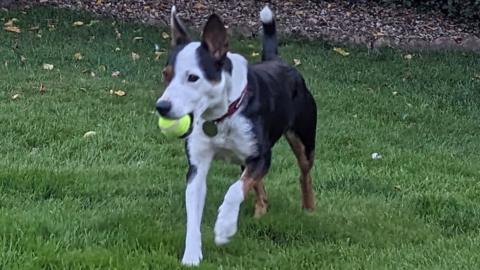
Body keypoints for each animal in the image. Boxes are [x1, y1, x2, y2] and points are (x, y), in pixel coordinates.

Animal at [156, 4, 316, 266]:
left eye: (193, 77)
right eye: (166, 74)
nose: (162, 107)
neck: (222, 116)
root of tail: (278, 61)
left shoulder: (261, 156)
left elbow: (234, 190)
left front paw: (224, 227)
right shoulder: (197, 167)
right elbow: (194, 211)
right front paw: (191, 255)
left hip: (304, 139)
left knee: (304, 174)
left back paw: (309, 209)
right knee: (257, 184)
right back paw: (260, 211)